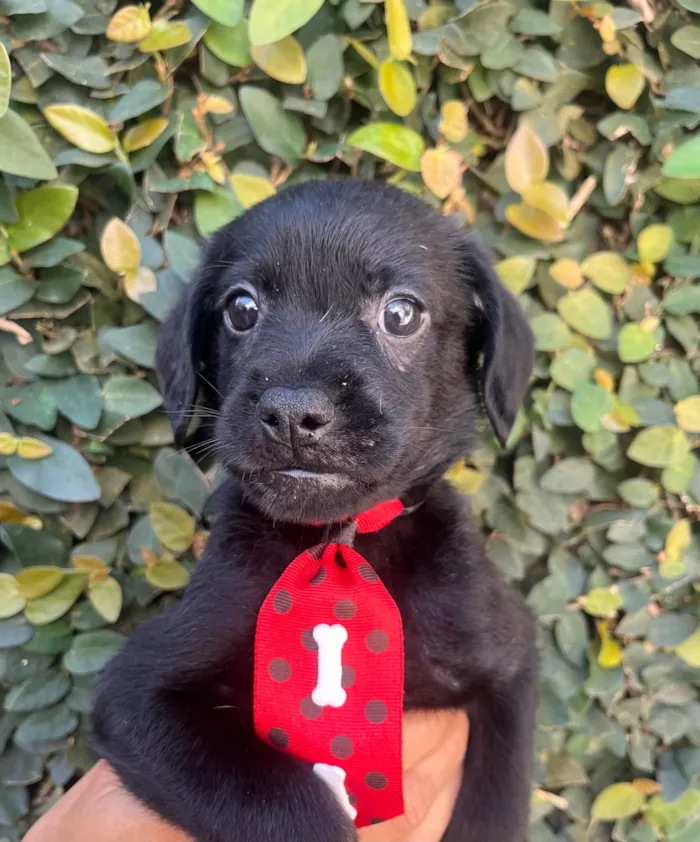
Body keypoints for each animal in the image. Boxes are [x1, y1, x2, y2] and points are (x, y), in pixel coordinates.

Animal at [94, 180, 536, 840]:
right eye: (241, 309)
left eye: (401, 313)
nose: (291, 412)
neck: (339, 537)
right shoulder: (138, 693)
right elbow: (280, 800)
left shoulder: (511, 663)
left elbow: (494, 807)